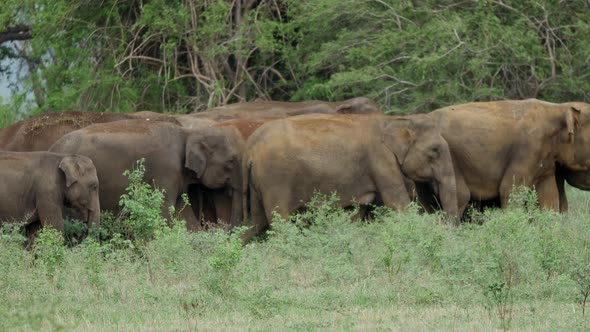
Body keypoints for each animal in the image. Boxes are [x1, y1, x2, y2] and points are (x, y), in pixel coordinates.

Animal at [238, 113, 460, 241]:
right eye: (435, 150)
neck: (396, 120)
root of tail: (250, 148)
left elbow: (355, 212)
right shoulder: (380, 159)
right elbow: (399, 205)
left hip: (258, 182)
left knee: (254, 223)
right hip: (275, 178)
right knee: (279, 221)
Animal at [416, 98, 588, 215]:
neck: (558, 108)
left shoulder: (546, 162)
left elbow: (549, 196)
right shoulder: (527, 150)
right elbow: (510, 190)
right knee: (460, 196)